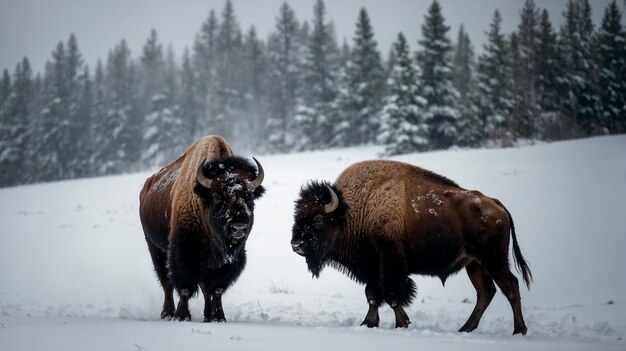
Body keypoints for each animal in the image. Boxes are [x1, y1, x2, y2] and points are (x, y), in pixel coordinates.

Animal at [139, 136, 264, 324]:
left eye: (250, 198)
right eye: (217, 197)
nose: (238, 227)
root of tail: (148, 185)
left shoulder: (227, 261)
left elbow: (216, 289)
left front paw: (218, 317)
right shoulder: (184, 253)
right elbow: (185, 287)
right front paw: (182, 316)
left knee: (203, 288)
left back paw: (206, 314)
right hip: (155, 247)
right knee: (166, 282)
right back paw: (167, 313)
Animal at [290, 160, 528, 336]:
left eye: (319, 220)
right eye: (297, 217)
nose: (296, 244)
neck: (351, 212)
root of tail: (496, 204)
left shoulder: (390, 259)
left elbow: (394, 293)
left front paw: (402, 323)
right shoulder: (370, 267)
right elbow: (373, 295)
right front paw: (368, 323)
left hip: (493, 258)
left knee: (510, 286)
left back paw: (519, 330)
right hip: (475, 264)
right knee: (486, 292)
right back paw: (465, 328)